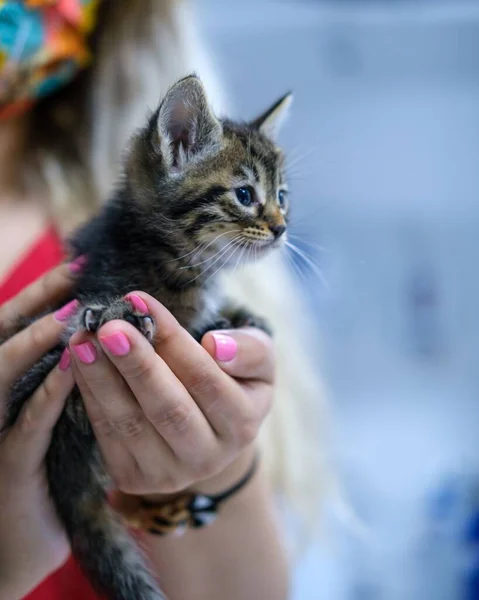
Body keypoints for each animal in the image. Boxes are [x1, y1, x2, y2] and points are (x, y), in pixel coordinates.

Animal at [2, 75, 292, 600]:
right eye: (244, 194)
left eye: (283, 195)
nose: (283, 228)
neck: (172, 254)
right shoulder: (57, 338)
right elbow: (81, 323)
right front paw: (125, 315)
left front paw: (237, 315)